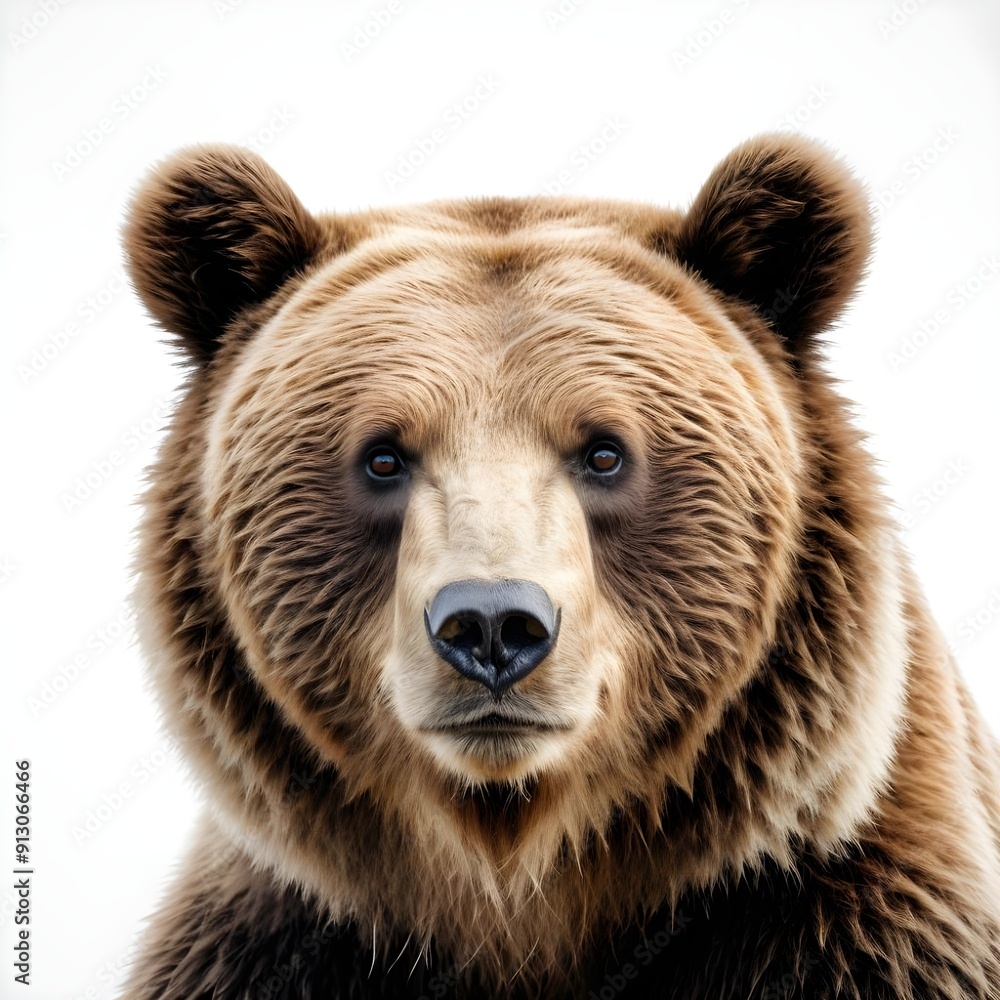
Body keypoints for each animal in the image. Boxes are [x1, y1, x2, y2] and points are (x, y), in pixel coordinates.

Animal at [119, 134, 1000, 999]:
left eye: (605, 452)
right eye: (383, 456)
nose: (492, 626)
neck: (523, 892)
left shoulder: (852, 924)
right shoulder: (265, 945)